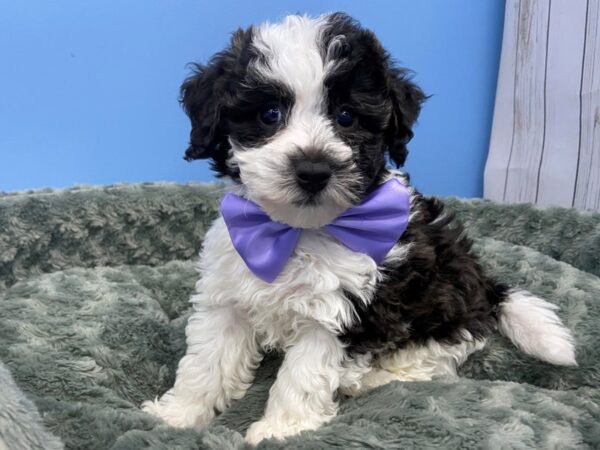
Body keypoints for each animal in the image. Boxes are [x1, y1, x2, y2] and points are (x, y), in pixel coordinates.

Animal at [142, 12, 576, 444]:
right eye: (269, 114)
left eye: (347, 116)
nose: (313, 169)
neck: (297, 233)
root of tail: (484, 284)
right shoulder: (229, 295)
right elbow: (208, 360)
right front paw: (177, 417)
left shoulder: (342, 310)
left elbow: (304, 375)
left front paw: (281, 430)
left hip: (443, 303)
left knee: (438, 355)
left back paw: (369, 379)